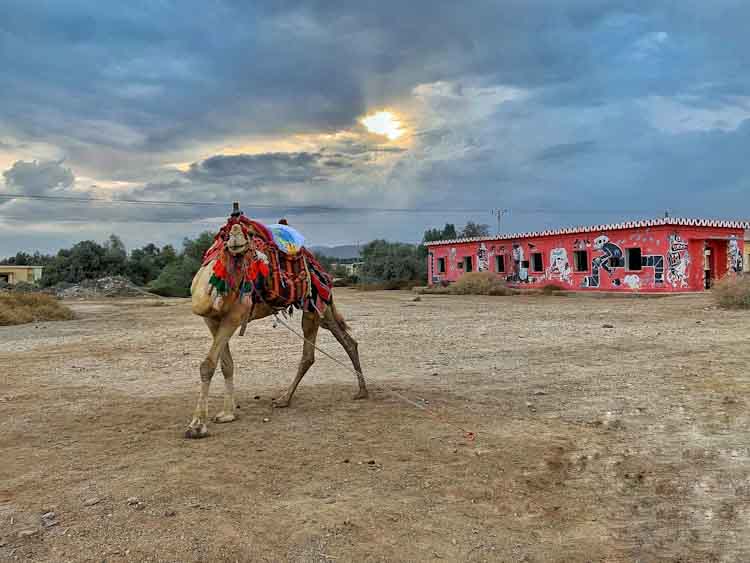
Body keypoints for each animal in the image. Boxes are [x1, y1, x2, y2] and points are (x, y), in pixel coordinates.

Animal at [185, 214, 368, 438]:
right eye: (226, 234)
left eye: (249, 234)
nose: (236, 239)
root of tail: (319, 267)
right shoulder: (212, 319)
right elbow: (225, 364)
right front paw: (228, 413)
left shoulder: (234, 316)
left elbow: (208, 365)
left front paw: (197, 425)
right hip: (323, 308)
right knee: (348, 341)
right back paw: (362, 391)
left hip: (312, 304)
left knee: (309, 354)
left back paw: (284, 399)